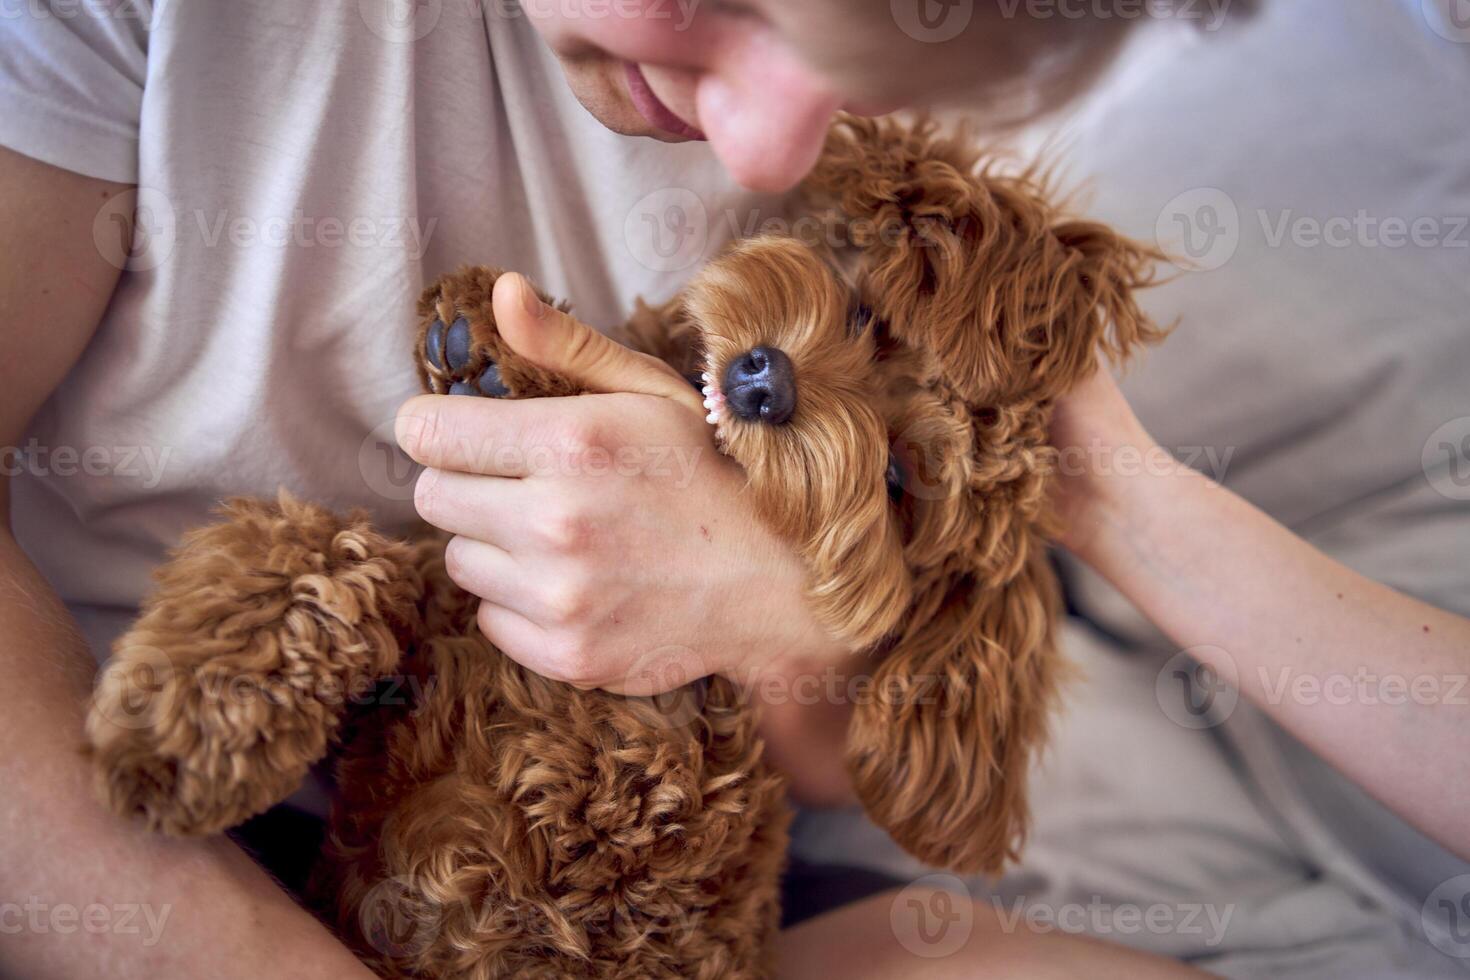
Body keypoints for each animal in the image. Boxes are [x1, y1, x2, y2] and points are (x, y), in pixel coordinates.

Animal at [83, 115, 1158, 975]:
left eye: (899, 480)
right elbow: (317, 557)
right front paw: (187, 712)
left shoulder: (613, 763)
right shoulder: (433, 630)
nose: (766, 382)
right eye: (868, 316)